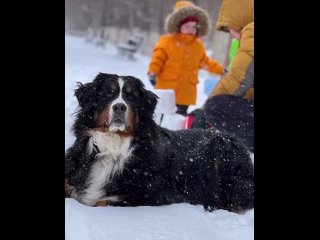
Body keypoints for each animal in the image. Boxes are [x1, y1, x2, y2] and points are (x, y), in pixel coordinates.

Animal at [65, 72, 255, 213]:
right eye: (108, 93)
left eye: (132, 97)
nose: (120, 107)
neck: (113, 146)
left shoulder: (149, 195)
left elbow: (101, 201)